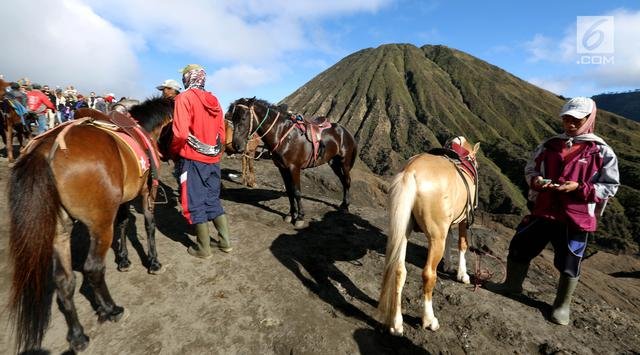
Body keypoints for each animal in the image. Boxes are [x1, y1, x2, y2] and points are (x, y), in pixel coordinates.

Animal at [7, 96, 176, 352]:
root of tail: (46, 149)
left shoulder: (124, 198)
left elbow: (124, 223)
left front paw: (124, 260)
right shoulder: (148, 190)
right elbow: (149, 225)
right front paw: (154, 262)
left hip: (60, 231)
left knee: (64, 282)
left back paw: (78, 336)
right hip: (100, 224)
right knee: (93, 269)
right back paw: (111, 309)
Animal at [229, 97, 360, 228]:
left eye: (243, 118)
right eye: (232, 119)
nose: (236, 145)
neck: (282, 134)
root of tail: (345, 131)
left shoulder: (294, 168)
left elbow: (297, 192)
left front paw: (300, 217)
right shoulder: (282, 168)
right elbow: (289, 191)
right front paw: (291, 214)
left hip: (344, 163)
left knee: (347, 181)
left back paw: (345, 207)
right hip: (334, 163)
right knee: (343, 181)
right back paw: (343, 204)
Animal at [376, 137, 480, 336]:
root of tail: (410, 171)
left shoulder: (449, 222)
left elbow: (450, 238)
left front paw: (448, 264)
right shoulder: (463, 219)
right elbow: (462, 244)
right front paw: (462, 274)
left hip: (404, 228)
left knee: (399, 270)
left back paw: (396, 323)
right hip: (435, 236)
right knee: (428, 275)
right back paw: (429, 319)